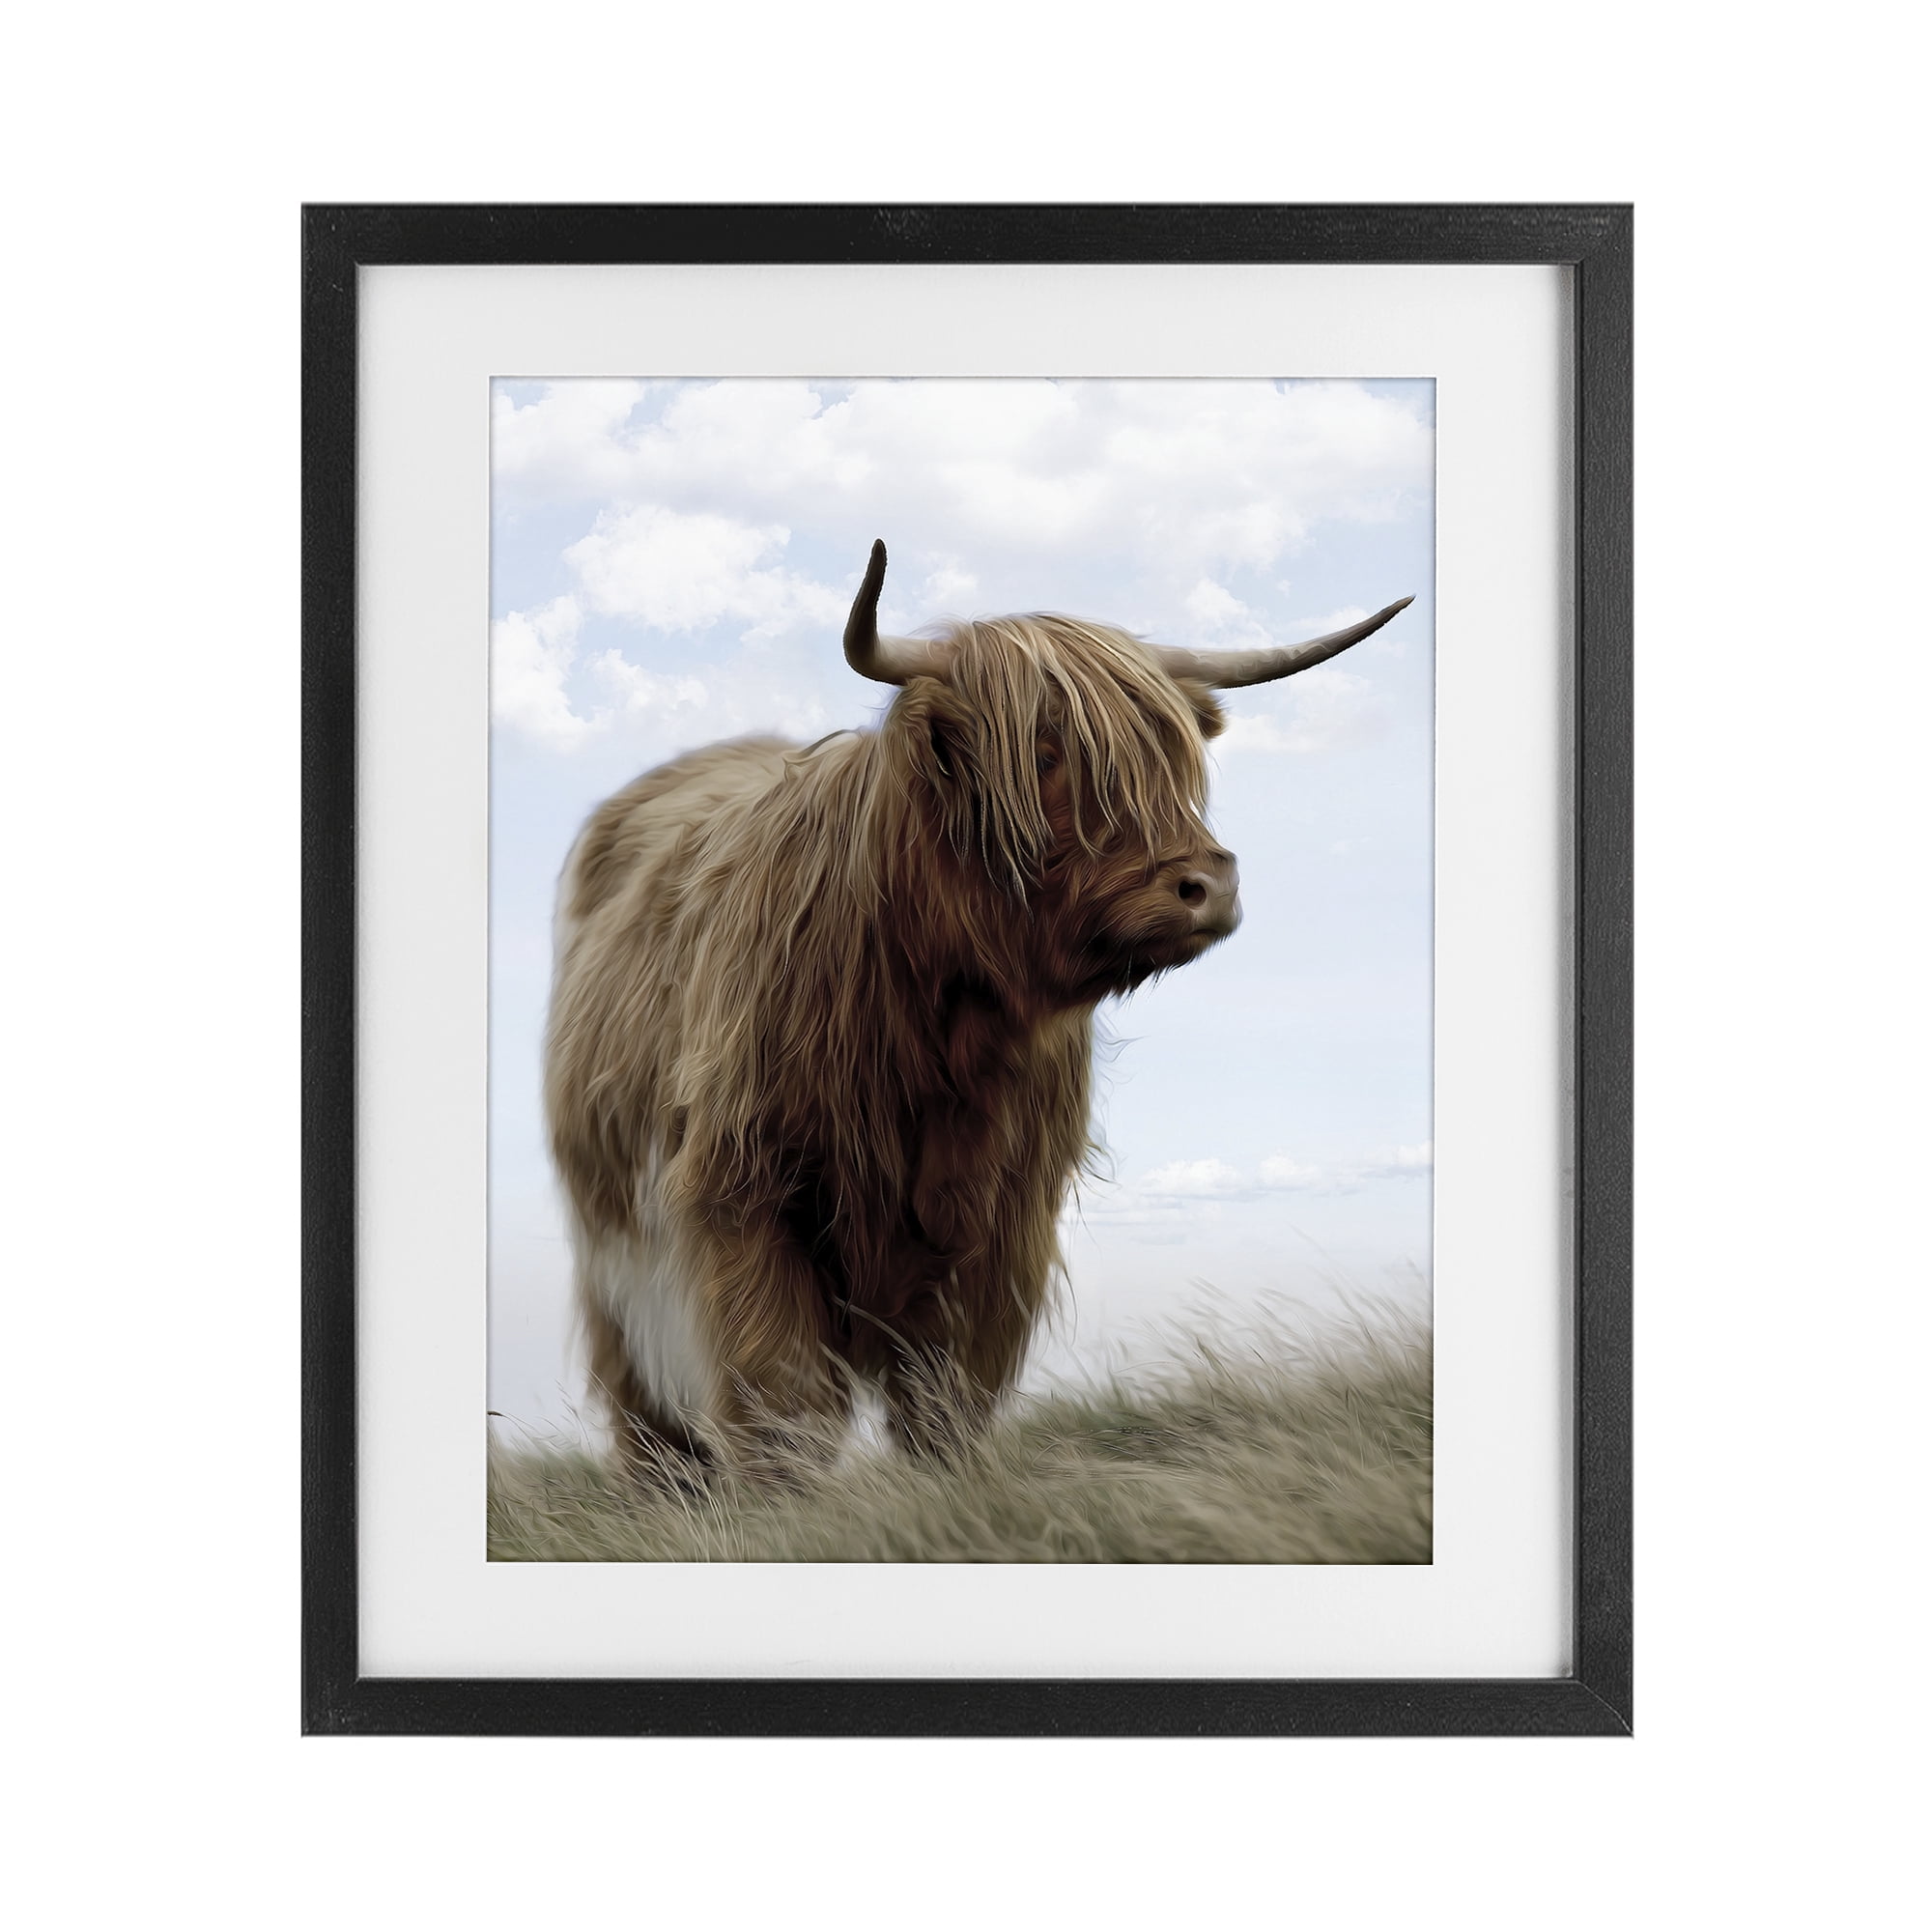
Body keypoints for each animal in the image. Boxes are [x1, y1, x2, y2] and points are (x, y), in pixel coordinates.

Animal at [544, 540, 1410, 1475]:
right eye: (1043, 751)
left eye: (1171, 758)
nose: (1209, 885)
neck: (940, 1028)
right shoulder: (743, 1189)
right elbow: (779, 1394)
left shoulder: (1003, 1222)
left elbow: (947, 1396)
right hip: (614, 1253)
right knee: (646, 1406)